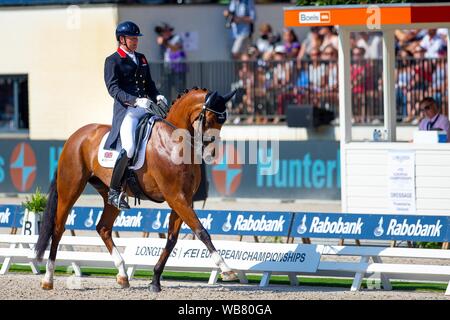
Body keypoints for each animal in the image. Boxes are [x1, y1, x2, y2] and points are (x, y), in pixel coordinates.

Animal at [34, 87, 237, 292]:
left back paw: (123, 275)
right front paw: (227, 270)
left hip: (109, 194)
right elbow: (201, 231)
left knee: (103, 228)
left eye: (222, 121)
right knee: (58, 228)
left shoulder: (183, 199)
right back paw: (48, 279)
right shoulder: (176, 197)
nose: (211, 153)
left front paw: (155, 280)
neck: (173, 142)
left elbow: (172, 238)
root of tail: (74, 137)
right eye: (210, 119)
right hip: (70, 189)